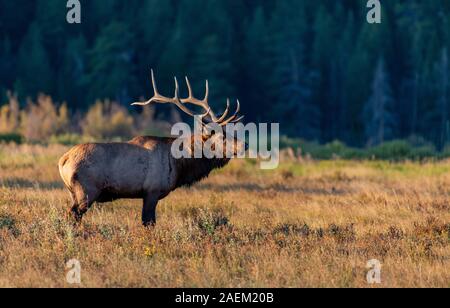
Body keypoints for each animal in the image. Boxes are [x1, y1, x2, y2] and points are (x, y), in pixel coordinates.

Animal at [59, 71, 246, 226]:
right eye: (222, 136)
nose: (244, 145)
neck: (179, 163)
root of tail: (63, 160)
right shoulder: (152, 191)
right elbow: (149, 222)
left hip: (73, 192)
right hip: (86, 191)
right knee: (72, 215)